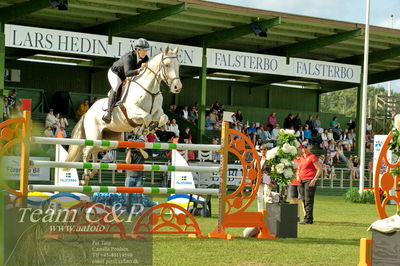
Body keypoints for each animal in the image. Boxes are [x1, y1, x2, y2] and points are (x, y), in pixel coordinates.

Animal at [66, 46, 182, 184]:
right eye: (167, 65)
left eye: (178, 65)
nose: (177, 87)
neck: (149, 90)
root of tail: (87, 113)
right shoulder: (131, 111)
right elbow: (146, 117)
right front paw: (143, 129)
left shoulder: (157, 112)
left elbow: (163, 118)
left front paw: (151, 127)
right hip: (94, 135)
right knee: (86, 151)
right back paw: (85, 177)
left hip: (108, 140)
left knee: (94, 151)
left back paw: (92, 172)